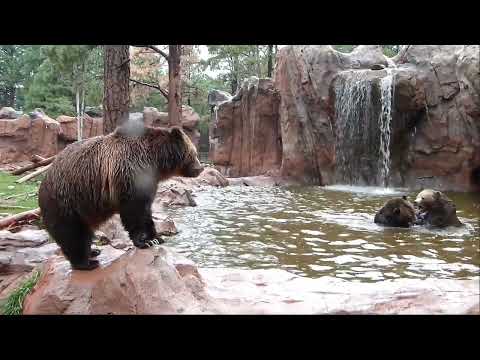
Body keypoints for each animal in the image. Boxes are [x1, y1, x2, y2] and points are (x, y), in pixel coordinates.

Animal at [38, 123, 202, 270]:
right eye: (194, 154)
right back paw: (86, 263)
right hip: (68, 201)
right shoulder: (130, 173)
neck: (155, 161)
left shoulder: (148, 181)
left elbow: (146, 211)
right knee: (73, 234)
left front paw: (155, 238)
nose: (200, 168)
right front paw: (143, 241)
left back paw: (93, 251)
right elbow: (134, 211)